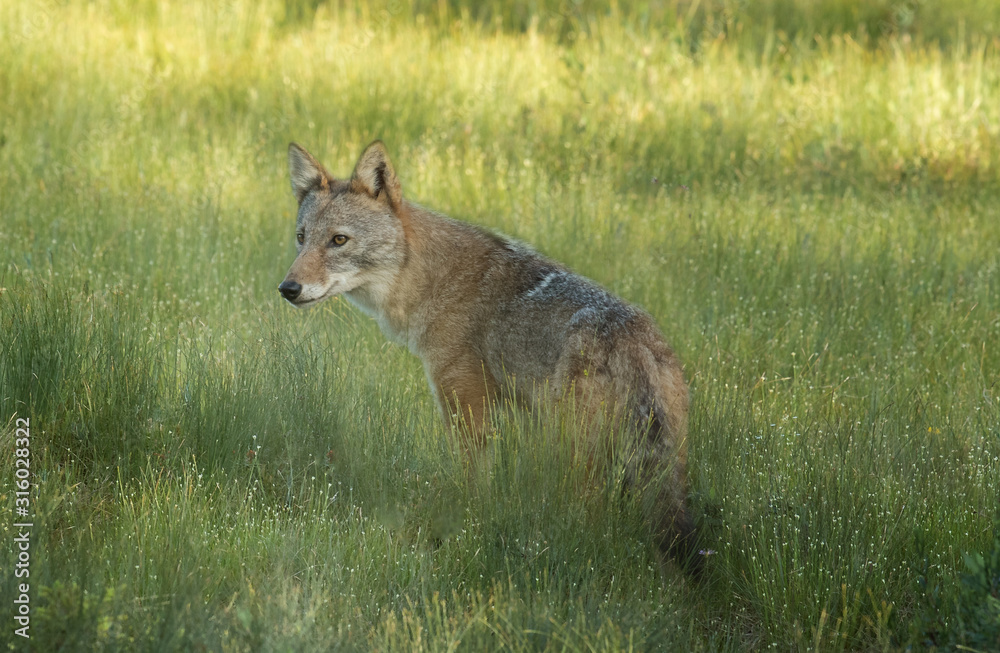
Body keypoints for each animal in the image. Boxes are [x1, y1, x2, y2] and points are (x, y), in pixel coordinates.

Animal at [282, 141, 700, 572]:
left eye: (339, 240)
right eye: (301, 238)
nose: (288, 288)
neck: (431, 279)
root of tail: (633, 339)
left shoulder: (467, 411)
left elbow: (470, 488)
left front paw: (464, 531)